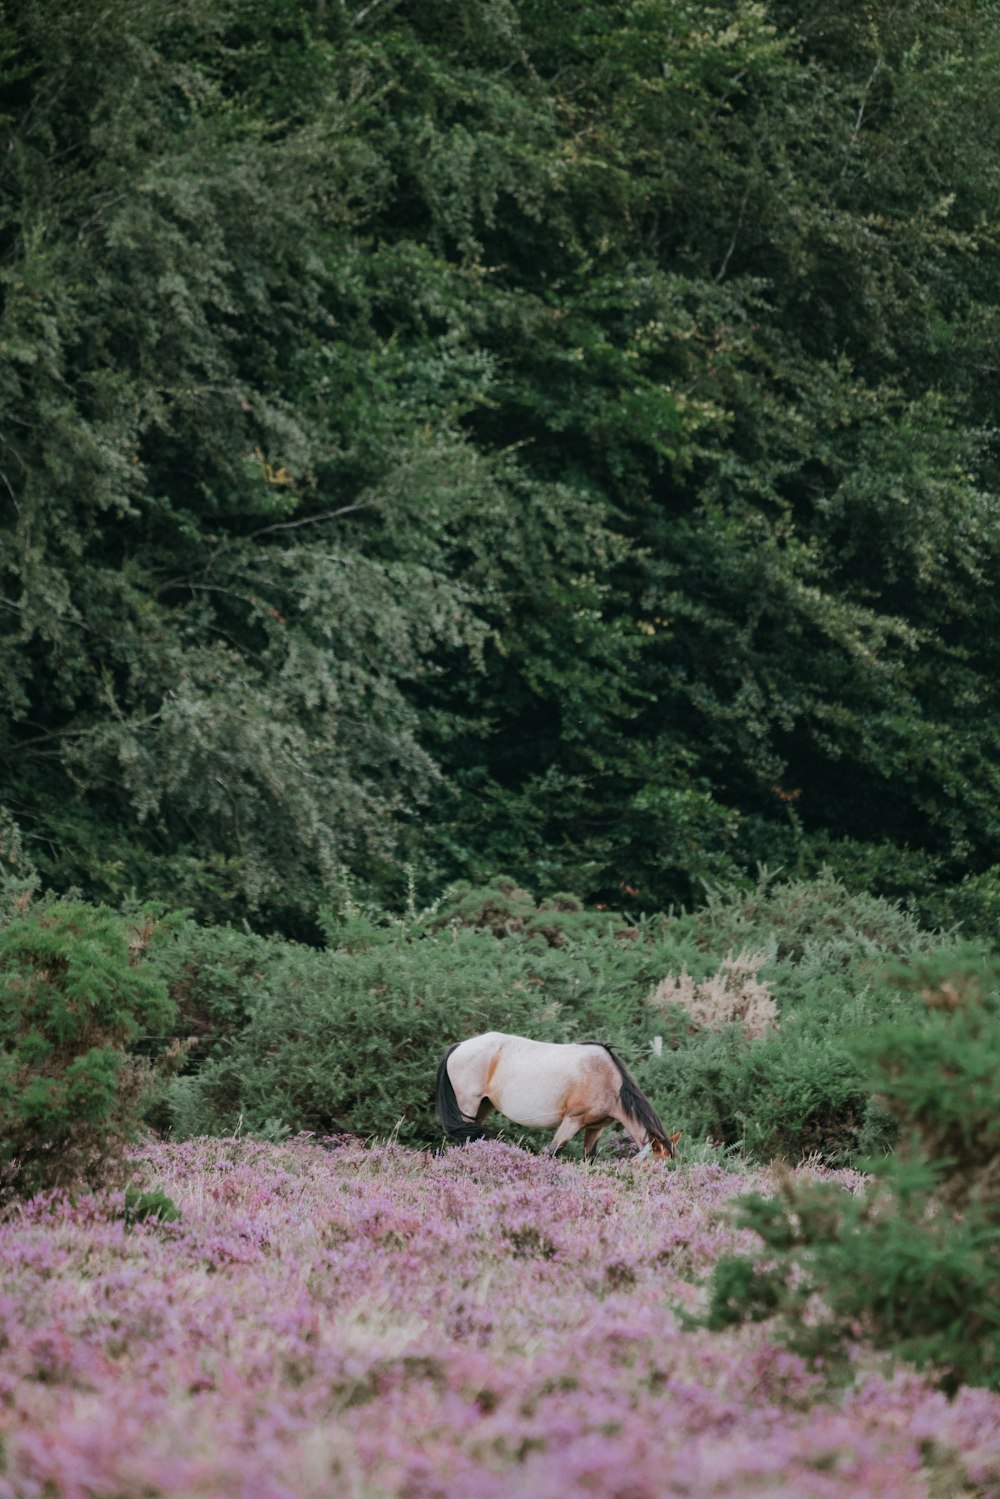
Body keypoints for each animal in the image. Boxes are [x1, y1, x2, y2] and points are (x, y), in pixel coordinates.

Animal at [437, 1037, 680, 1163]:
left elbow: (589, 1158)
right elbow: (551, 1153)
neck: (606, 1078)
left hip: (484, 1106)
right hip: (468, 1105)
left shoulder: (595, 1128)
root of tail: (458, 1046)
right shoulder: (572, 1121)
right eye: (655, 1164)